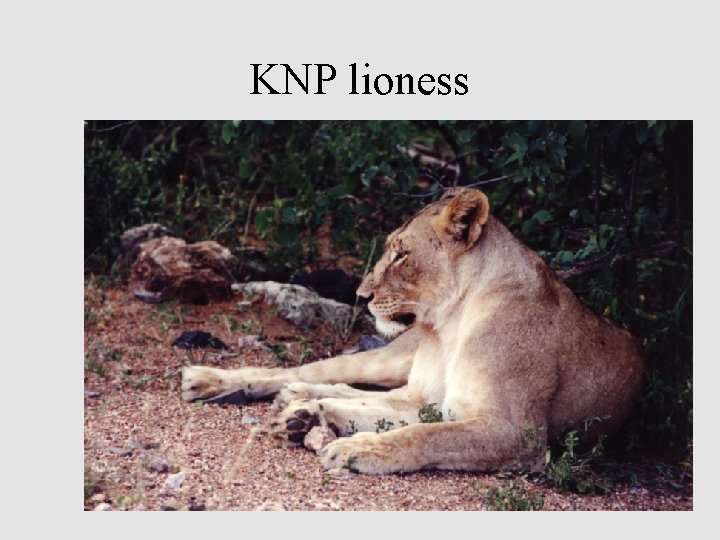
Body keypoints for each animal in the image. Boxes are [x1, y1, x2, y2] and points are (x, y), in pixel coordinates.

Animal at [181, 188, 645, 474]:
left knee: (346, 392)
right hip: (391, 359)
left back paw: (300, 411)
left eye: (402, 255)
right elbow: (408, 426)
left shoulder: (515, 433)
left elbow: (421, 435)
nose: (361, 294)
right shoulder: (434, 401)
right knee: (314, 372)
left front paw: (358, 448)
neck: (449, 325)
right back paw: (211, 381)